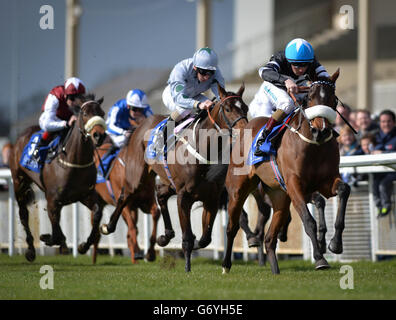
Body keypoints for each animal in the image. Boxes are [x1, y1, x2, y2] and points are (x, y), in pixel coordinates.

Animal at [9, 96, 107, 262]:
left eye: (102, 113)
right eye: (85, 113)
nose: (99, 136)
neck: (74, 161)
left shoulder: (85, 195)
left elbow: (97, 212)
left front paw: (83, 246)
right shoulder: (52, 200)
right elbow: (54, 233)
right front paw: (46, 238)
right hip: (19, 182)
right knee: (23, 214)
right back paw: (31, 250)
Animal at [99, 84, 249, 272]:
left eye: (246, 108)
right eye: (228, 109)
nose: (245, 131)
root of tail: (141, 125)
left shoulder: (212, 198)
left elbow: (205, 238)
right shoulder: (183, 196)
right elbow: (187, 238)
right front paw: (187, 268)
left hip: (168, 181)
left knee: (160, 193)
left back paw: (165, 236)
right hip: (137, 177)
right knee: (124, 196)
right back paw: (108, 226)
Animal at [223, 70, 350, 276]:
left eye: (333, 99)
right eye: (310, 97)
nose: (322, 131)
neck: (313, 146)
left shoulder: (326, 181)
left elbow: (344, 190)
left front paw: (335, 244)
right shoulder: (295, 185)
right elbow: (308, 219)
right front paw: (320, 258)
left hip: (279, 198)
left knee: (269, 237)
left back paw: (275, 270)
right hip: (237, 191)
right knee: (232, 227)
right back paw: (226, 264)